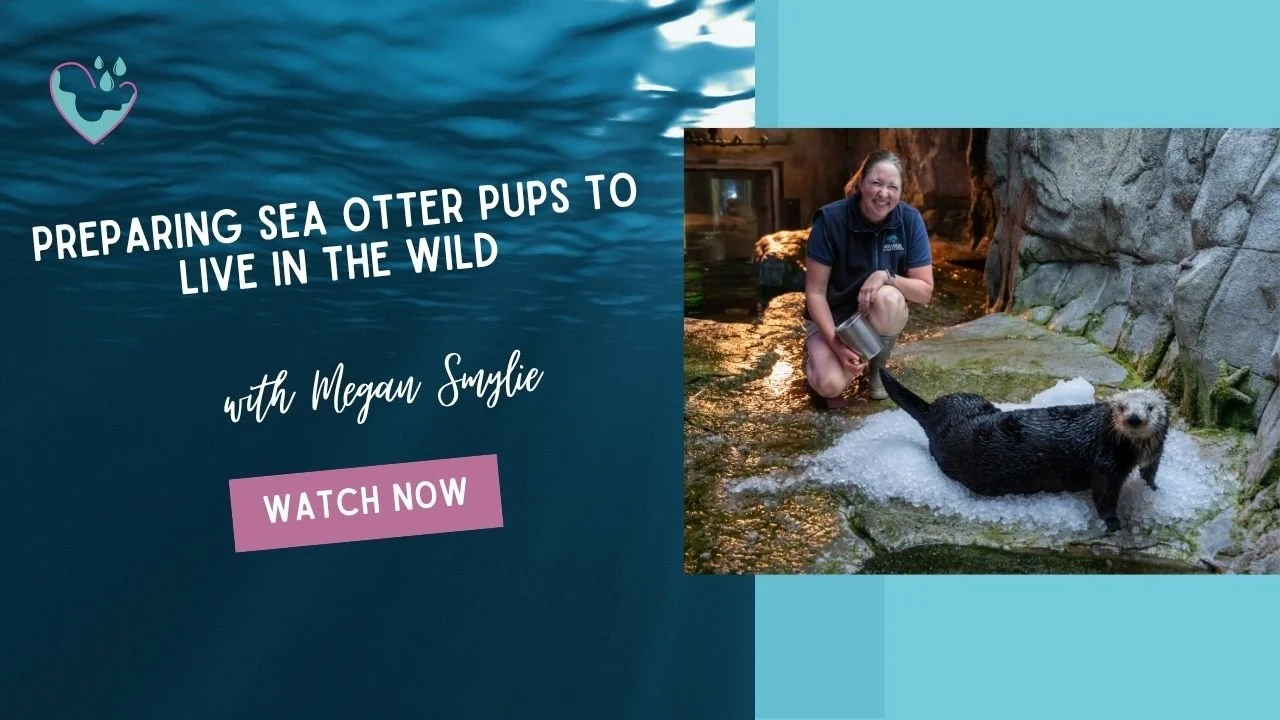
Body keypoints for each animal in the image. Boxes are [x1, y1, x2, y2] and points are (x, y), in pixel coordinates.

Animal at [877, 368, 1170, 531]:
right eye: (1121, 407)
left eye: (1150, 407)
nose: (1134, 418)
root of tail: (934, 415)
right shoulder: (1106, 464)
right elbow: (1104, 495)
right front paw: (1112, 523)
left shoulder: (1154, 454)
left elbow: (1150, 472)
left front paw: (1154, 489)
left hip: (966, 399)